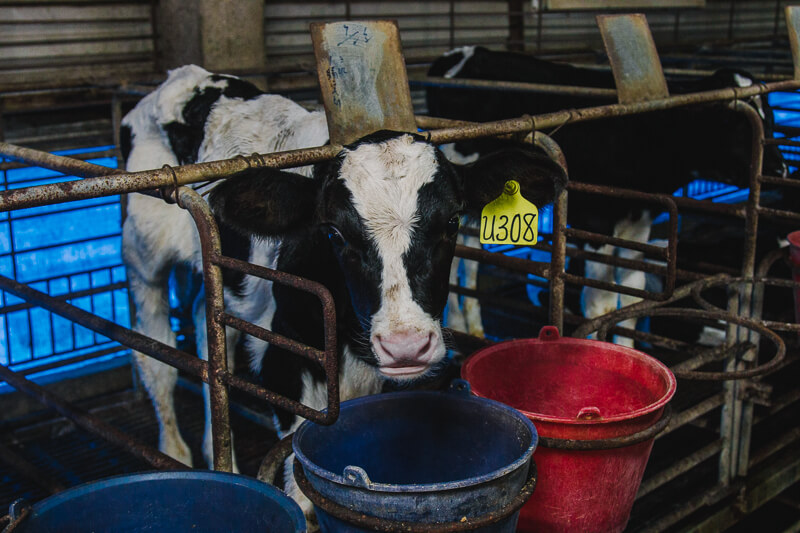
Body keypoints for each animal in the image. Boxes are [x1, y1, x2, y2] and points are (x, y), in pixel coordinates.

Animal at [122, 65, 564, 502]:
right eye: (334, 232)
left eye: (453, 221)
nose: (406, 345)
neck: (350, 344)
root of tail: (181, 77)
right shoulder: (282, 360)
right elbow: (298, 489)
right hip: (141, 257)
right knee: (155, 356)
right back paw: (174, 452)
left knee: (208, 332)